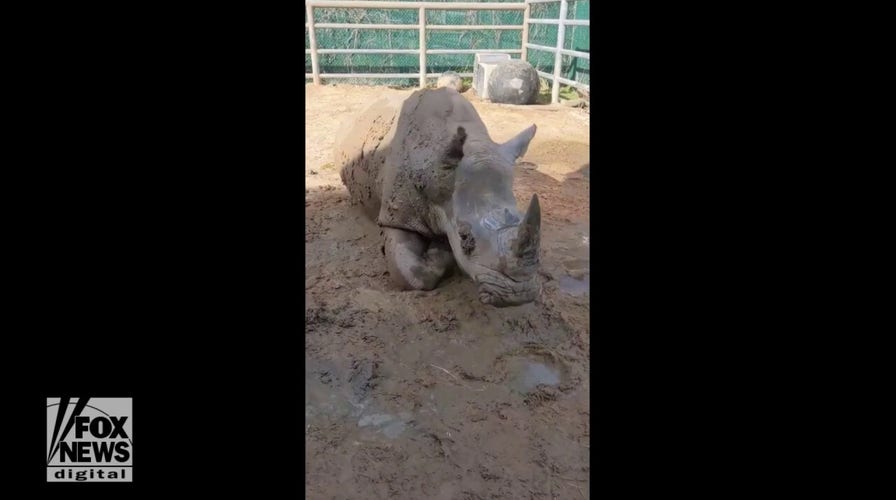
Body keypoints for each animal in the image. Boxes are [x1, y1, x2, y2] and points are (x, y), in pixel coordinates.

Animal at [335, 87, 541, 307]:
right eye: (464, 237)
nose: (518, 294)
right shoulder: (396, 217)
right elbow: (412, 274)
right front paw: (438, 251)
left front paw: (440, 246)